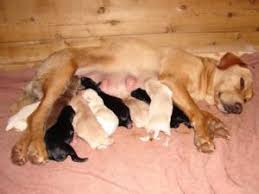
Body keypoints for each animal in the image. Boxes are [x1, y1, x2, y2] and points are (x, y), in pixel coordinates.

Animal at [10, 38, 254, 165]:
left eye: (248, 98)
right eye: (242, 82)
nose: (240, 108)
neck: (202, 72)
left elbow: (201, 112)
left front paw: (215, 124)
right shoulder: (173, 82)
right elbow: (196, 111)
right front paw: (204, 135)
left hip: (59, 93)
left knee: (36, 121)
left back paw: (21, 150)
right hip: (60, 79)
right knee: (35, 118)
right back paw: (36, 149)